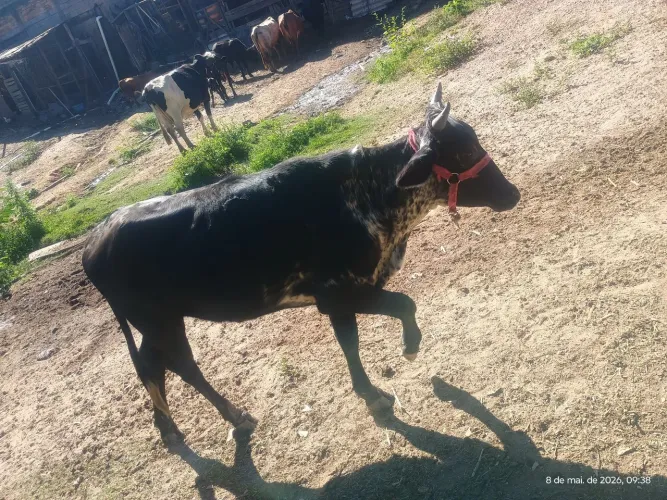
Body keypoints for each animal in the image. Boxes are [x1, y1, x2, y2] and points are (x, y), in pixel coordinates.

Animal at [82, 84, 520, 445]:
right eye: (464, 152)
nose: (513, 193)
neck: (369, 198)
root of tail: (97, 236)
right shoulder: (339, 294)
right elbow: (399, 309)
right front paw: (403, 358)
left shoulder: (351, 294)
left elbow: (355, 340)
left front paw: (379, 387)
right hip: (158, 320)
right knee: (183, 366)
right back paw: (236, 417)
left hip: (156, 320)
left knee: (152, 367)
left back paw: (169, 428)